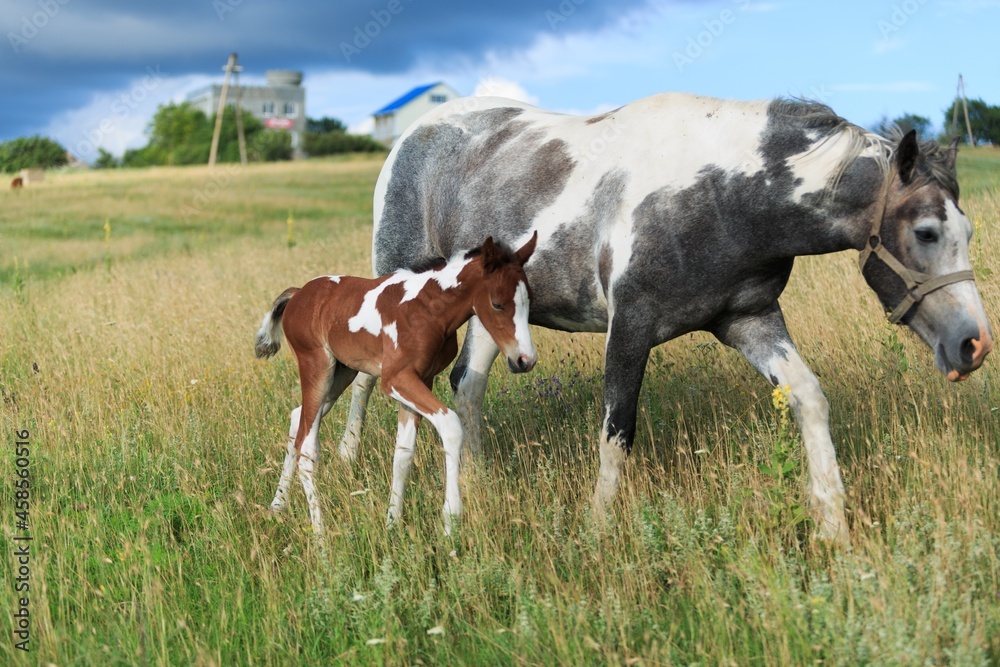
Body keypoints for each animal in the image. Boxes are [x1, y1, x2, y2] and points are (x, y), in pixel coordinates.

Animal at [258, 234, 540, 536]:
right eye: (497, 304)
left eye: (529, 300)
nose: (525, 360)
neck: (426, 309)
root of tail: (299, 293)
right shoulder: (396, 379)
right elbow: (451, 425)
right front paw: (451, 519)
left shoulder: (422, 379)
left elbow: (403, 455)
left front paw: (392, 523)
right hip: (316, 367)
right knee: (308, 447)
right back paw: (321, 534)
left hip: (340, 374)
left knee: (297, 419)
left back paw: (278, 505)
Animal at [338, 94, 992, 544]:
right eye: (926, 232)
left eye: (966, 230)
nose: (974, 345)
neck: (722, 196)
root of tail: (414, 135)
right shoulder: (629, 328)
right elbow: (616, 433)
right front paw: (598, 533)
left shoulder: (750, 320)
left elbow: (809, 397)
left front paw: (833, 525)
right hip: (397, 281)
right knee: (370, 375)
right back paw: (345, 462)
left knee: (466, 389)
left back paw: (477, 486)